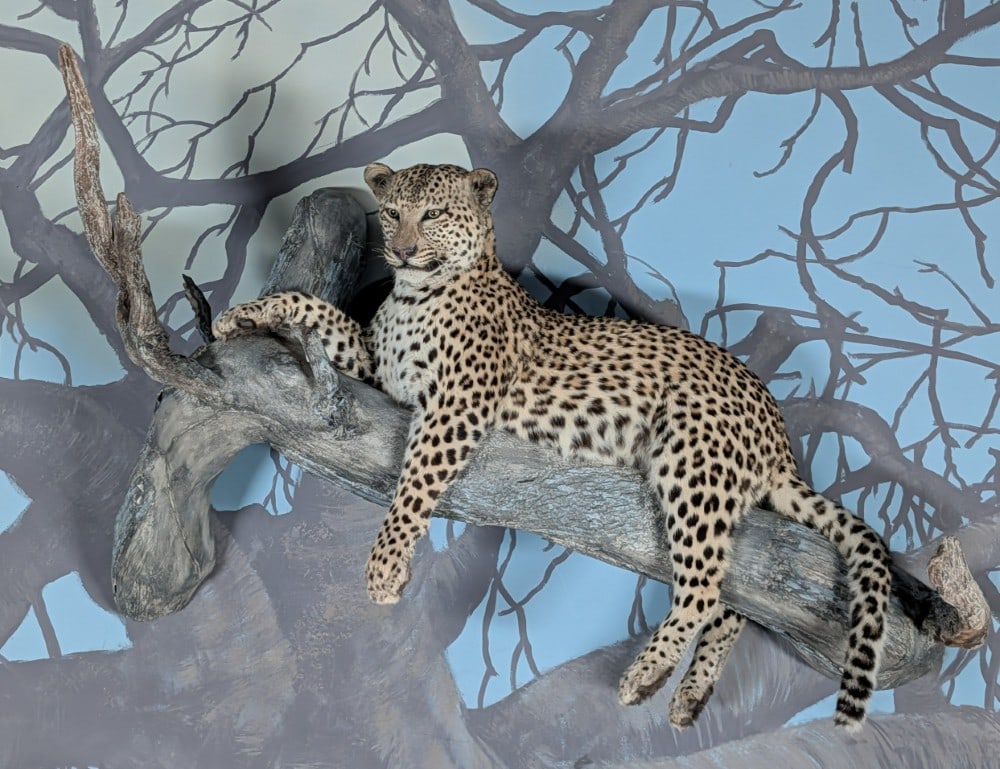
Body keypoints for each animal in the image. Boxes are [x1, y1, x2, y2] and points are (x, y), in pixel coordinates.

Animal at [213, 162, 892, 731]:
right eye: (392, 212)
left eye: (432, 215)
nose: (401, 250)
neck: (414, 292)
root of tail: (776, 421)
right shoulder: (382, 373)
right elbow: (314, 307)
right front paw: (239, 315)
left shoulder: (454, 408)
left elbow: (413, 489)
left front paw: (384, 570)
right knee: (733, 601)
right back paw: (687, 696)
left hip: (691, 463)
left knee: (704, 588)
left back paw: (645, 676)